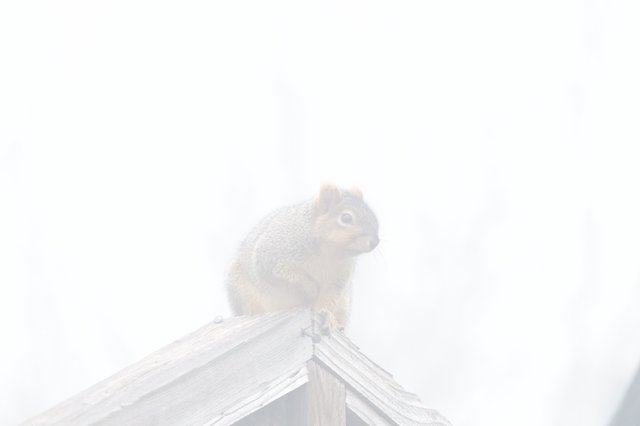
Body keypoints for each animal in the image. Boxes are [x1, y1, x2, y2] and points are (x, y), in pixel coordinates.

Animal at [225, 183, 379, 330]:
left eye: (373, 217)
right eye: (346, 217)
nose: (375, 242)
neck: (329, 252)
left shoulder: (340, 276)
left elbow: (328, 298)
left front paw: (326, 315)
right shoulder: (271, 257)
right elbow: (286, 274)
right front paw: (311, 288)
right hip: (244, 294)